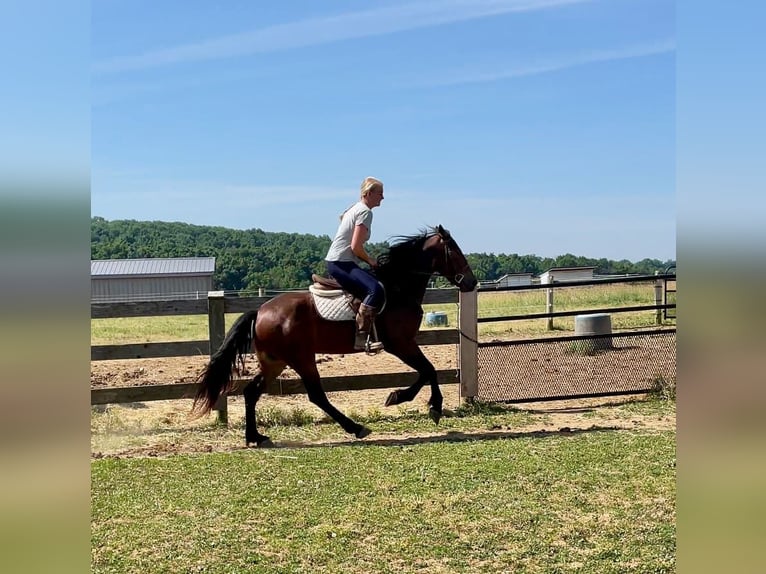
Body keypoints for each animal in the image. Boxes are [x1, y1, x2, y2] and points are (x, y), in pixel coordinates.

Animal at [192, 223, 476, 448]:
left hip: (275, 361)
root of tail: (261, 310)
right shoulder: (399, 343)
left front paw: (404, 398)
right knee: (316, 395)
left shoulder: (403, 344)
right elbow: (429, 370)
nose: (472, 282)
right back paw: (356, 428)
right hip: (301, 358)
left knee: (252, 392)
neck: (398, 289)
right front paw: (428, 405)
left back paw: (256, 437)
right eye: (455, 250)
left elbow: (426, 371)